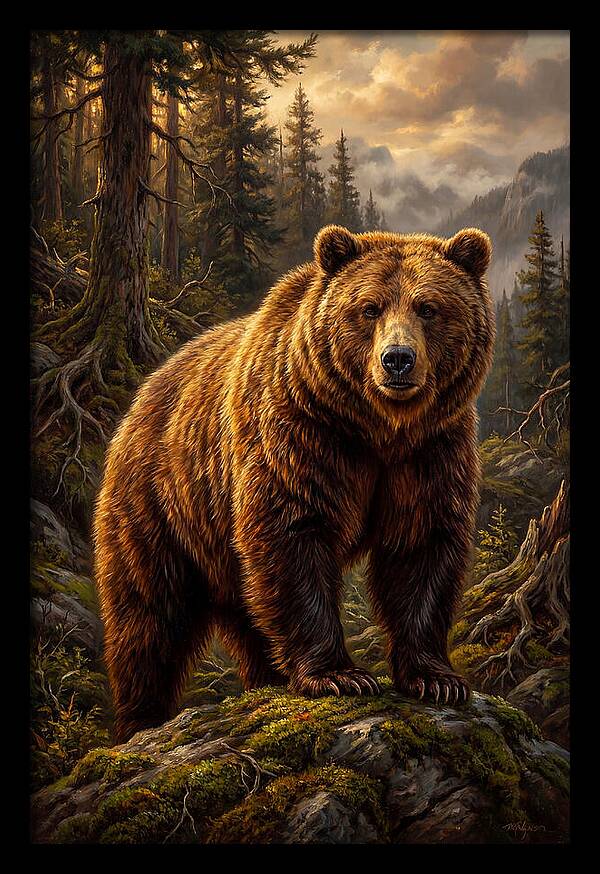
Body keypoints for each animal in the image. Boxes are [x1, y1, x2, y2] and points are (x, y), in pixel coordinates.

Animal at [94, 224, 495, 743]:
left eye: (428, 307)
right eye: (369, 308)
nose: (398, 360)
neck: (379, 428)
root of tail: (143, 393)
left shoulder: (432, 450)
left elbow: (422, 545)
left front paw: (437, 679)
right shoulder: (300, 432)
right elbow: (292, 534)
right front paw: (340, 675)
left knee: (246, 613)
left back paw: (267, 678)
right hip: (162, 502)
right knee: (148, 615)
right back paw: (141, 720)